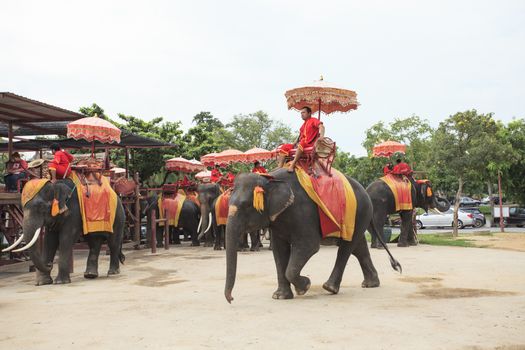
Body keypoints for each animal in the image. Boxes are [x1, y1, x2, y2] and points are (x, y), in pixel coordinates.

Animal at [223, 170, 400, 304]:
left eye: (246, 206)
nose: (231, 299)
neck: (270, 179)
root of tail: (366, 193)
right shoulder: (277, 218)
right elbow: (279, 251)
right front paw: (280, 296)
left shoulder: (303, 213)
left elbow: (309, 246)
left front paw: (304, 287)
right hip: (358, 218)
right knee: (359, 248)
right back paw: (371, 284)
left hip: (358, 213)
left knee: (346, 249)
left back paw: (329, 288)